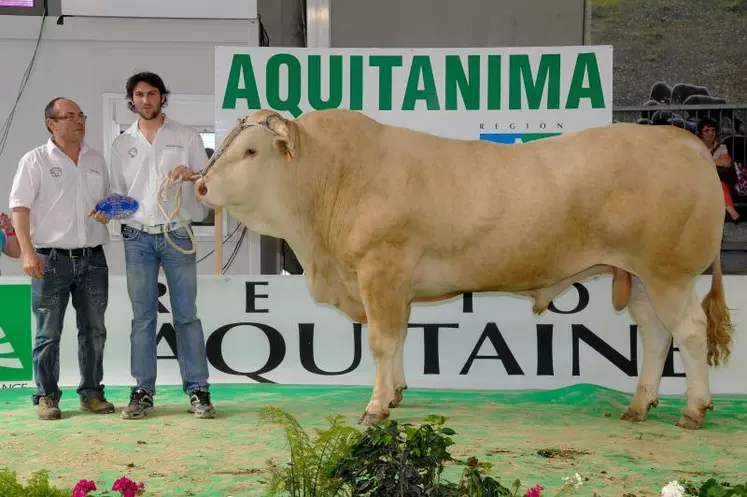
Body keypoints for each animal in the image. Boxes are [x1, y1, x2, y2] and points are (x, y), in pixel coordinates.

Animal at [194, 108, 736, 430]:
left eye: (250, 150)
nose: (198, 186)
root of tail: (683, 141)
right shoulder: (392, 284)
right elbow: (398, 338)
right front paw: (396, 394)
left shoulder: (380, 267)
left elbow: (382, 341)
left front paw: (374, 408)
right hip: (640, 277)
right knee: (655, 335)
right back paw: (639, 405)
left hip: (668, 273)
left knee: (689, 330)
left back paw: (693, 409)